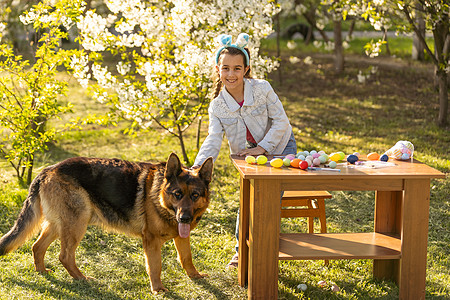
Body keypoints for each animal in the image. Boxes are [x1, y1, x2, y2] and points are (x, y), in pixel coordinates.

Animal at [0, 152, 214, 292]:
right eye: (177, 194)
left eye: (195, 196)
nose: (184, 218)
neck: (160, 196)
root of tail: (47, 170)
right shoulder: (151, 241)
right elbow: (155, 266)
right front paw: (158, 289)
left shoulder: (181, 236)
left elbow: (186, 258)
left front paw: (195, 276)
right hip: (77, 224)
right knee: (65, 256)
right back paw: (82, 278)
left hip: (59, 225)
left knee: (37, 247)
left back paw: (42, 271)